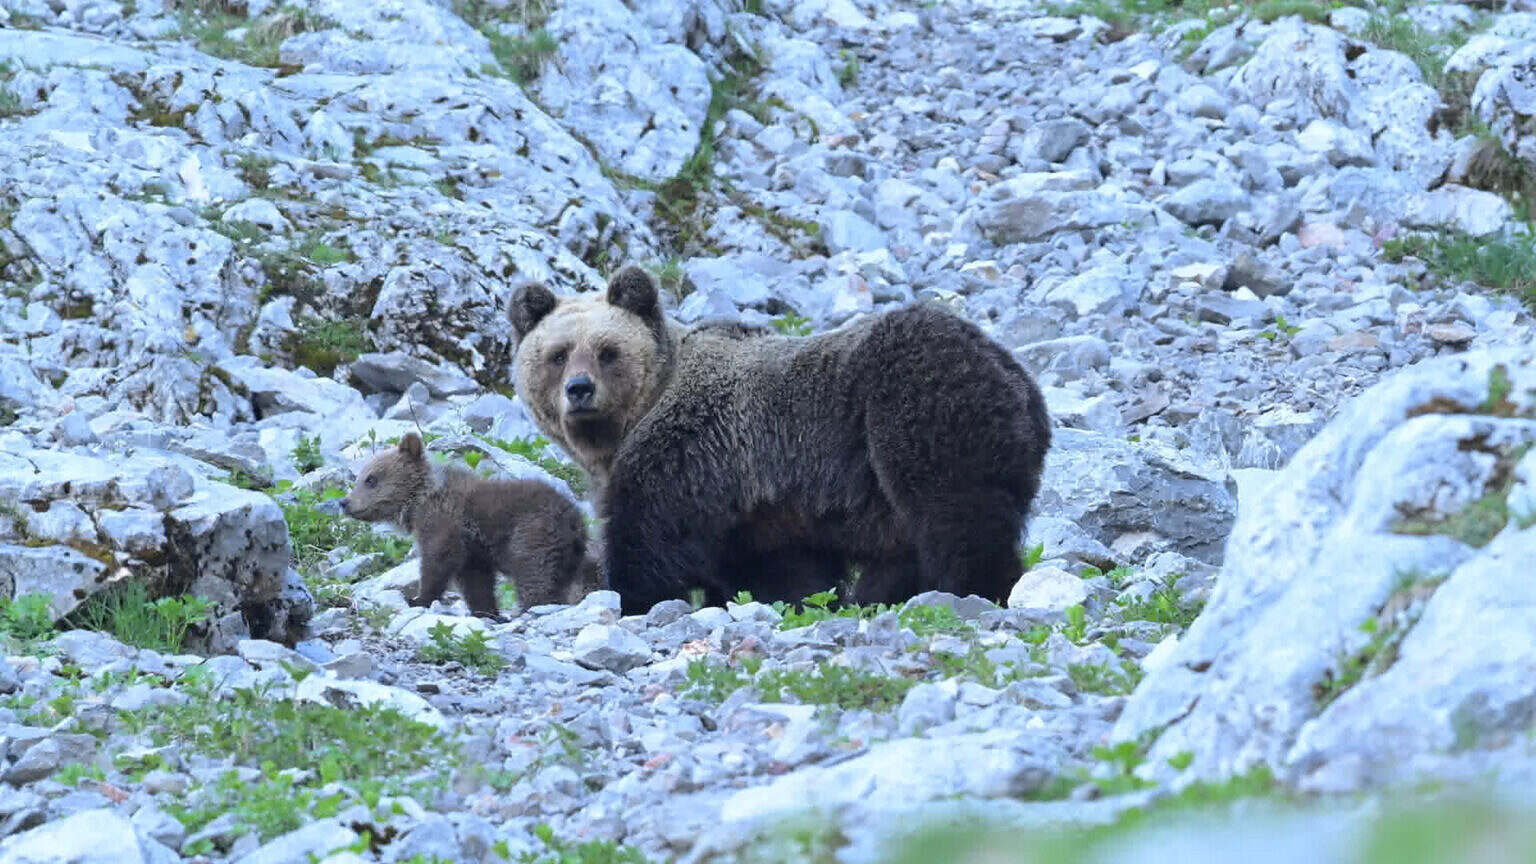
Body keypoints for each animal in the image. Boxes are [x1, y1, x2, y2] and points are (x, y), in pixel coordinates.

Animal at [509, 265, 1050, 608]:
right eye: (557, 354)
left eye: (607, 350)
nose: (579, 390)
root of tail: (1016, 376)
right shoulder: (769, 505)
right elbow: (787, 570)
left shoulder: (686, 456)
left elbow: (650, 540)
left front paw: (631, 596)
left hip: (915, 404)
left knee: (955, 515)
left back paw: (977, 588)